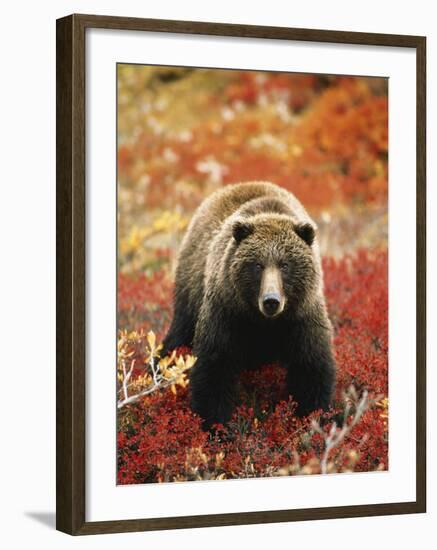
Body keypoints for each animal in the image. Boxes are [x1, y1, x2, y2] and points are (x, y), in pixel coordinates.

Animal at [162, 183, 336, 430]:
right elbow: (214, 369)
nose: (271, 300)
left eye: (285, 265)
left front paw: (312, 418)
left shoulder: (302, 318)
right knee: (178, 336)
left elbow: (311, 369)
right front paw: (215, 425)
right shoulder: (227, 312)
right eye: (257, 265)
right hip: (190, 290)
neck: (263, 323)